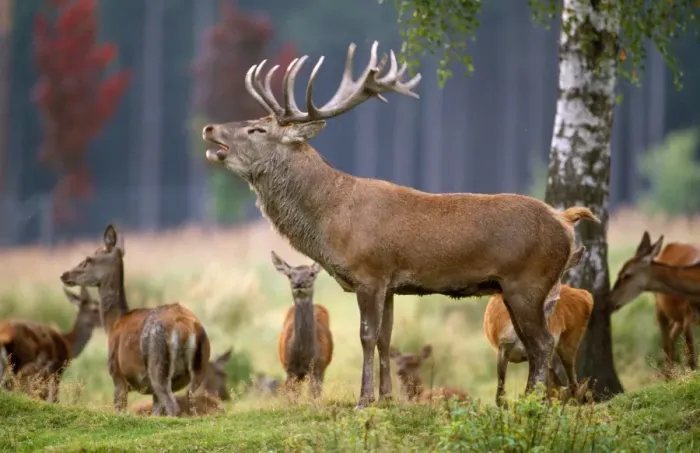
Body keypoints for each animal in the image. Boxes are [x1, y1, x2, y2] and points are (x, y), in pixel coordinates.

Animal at [59, 224, 211, 417]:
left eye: (89, 259)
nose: (64, 275)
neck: (114, 323)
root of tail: (184, 327)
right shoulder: (151, 392)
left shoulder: (117, 376)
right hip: (201, 366)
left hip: (157, 365)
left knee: (173, 406)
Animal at [272, 250, 333, 399]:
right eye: (289, 275)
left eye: (311, 273)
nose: (298, 283)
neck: (303, 354)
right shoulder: (289, 368)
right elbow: (291, 398)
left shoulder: (317, 367)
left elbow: (314, 397)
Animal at [609, 231, 700, 373]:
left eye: (626, 275)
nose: (609, 300)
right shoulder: (688, 315)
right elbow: (691, 361)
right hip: (661, 309)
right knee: (668, 344)